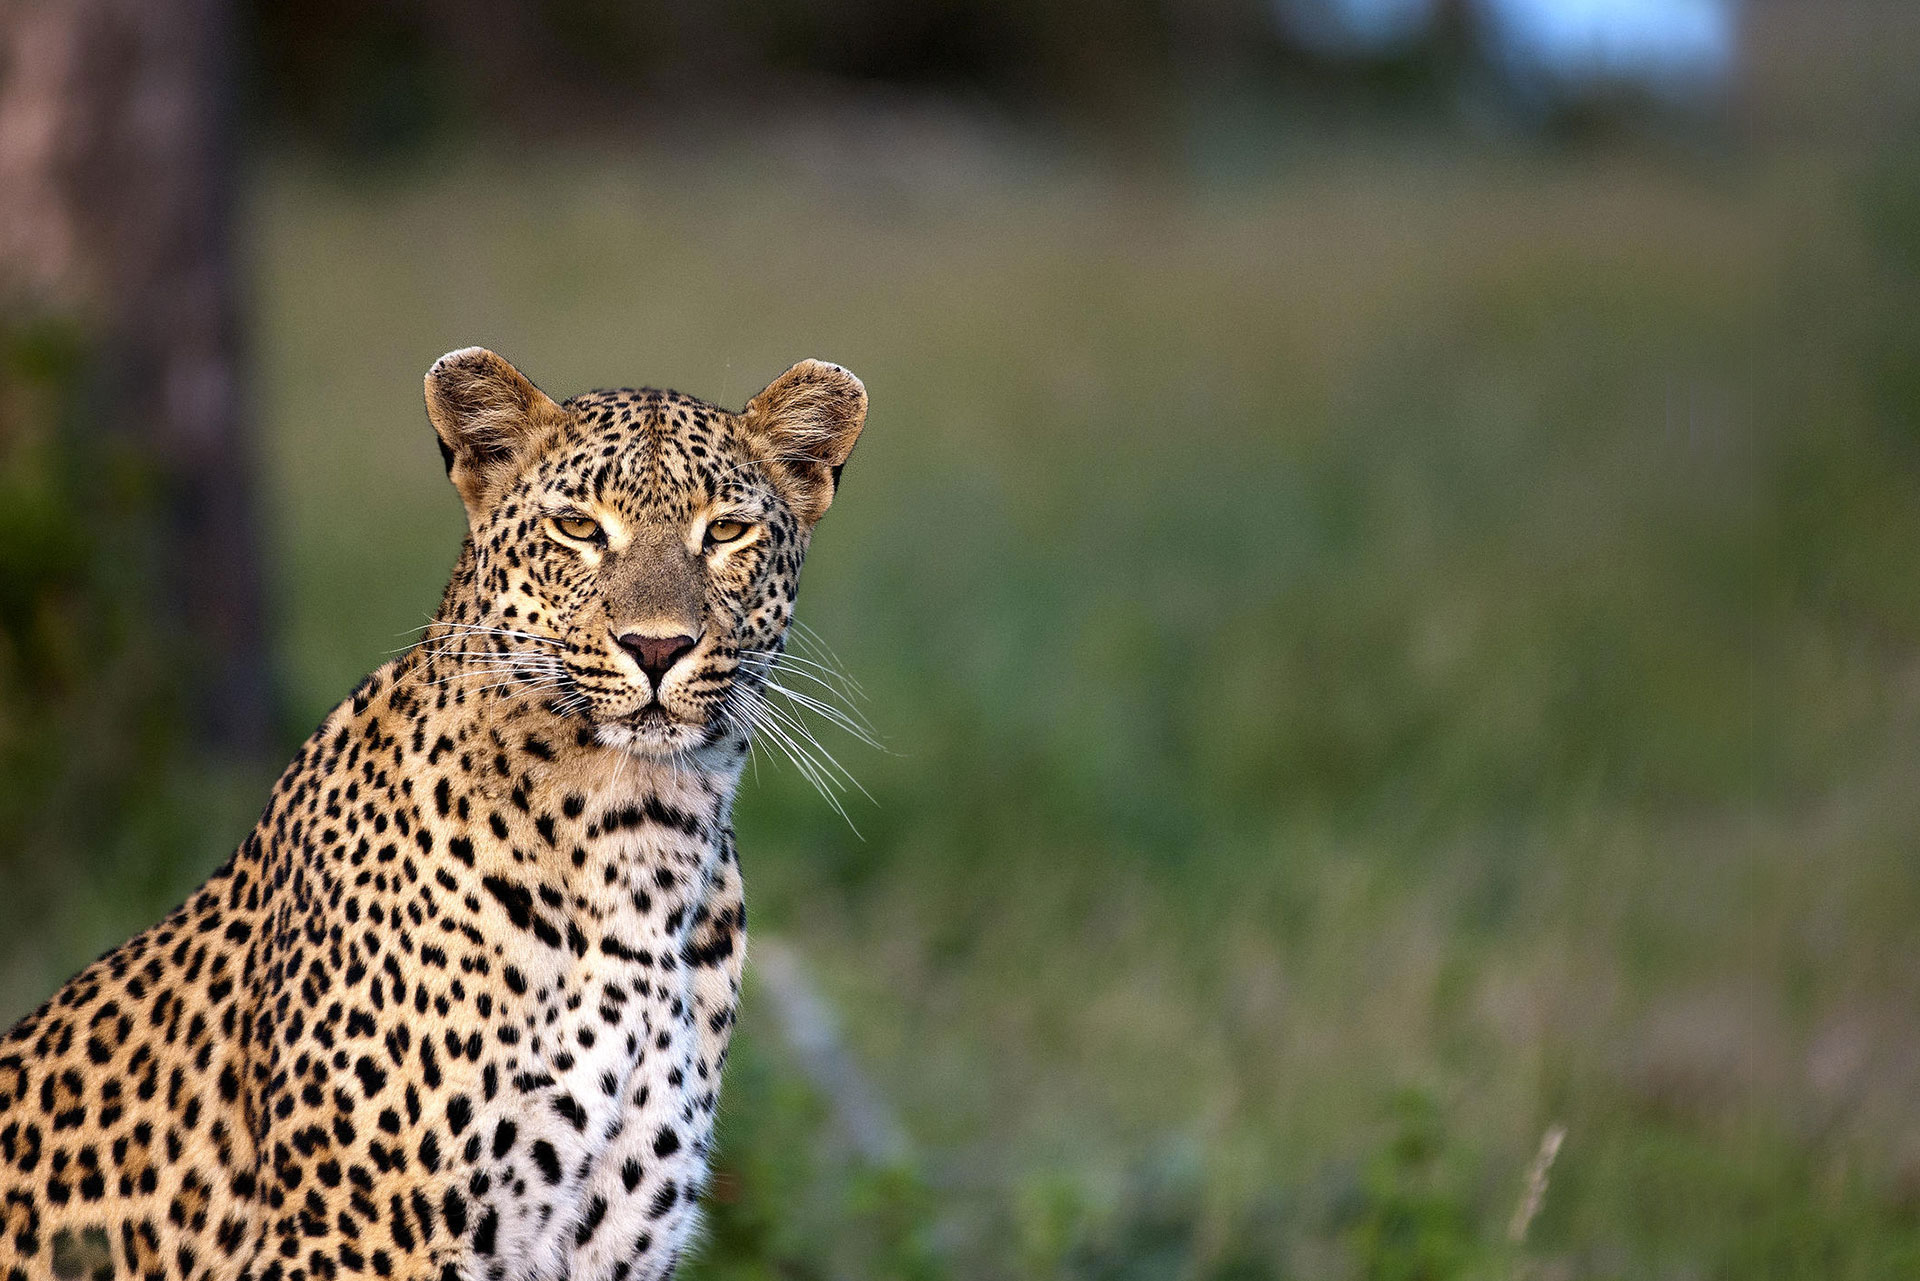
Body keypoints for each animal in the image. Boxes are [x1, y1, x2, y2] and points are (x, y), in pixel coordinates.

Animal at [0, 347, 870, 1281]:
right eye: (578, 527)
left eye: (727, 532)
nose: (658, 646)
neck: (643, 833)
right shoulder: (361, 1237)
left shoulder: (617, 1241)